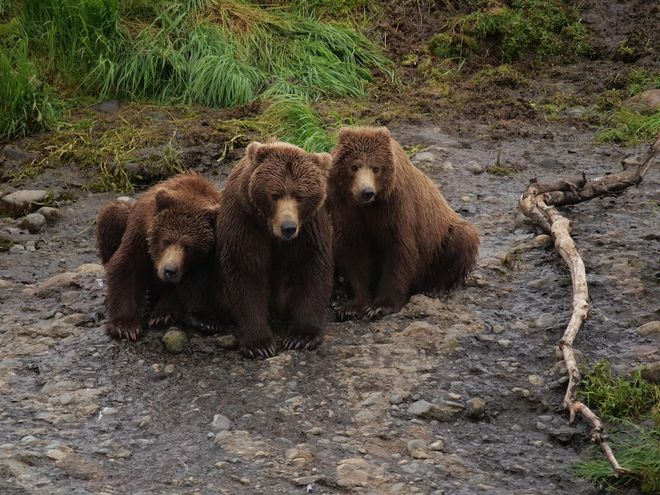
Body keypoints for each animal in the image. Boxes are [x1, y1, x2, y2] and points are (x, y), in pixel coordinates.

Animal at [100, 172, 223, 340]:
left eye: (189, 247)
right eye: (166, 240)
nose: (169, 270)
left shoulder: (206, 255)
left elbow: (200, 281)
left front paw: (203, 320)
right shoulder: (140, 233)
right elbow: (125, 266)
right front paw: (125, 327)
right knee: (114, 214)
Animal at [216, 141, 334, 358]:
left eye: (299, 196)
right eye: (275, 194)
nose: (288, 227)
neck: (269, 228)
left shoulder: (309, 226)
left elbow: (313, 265)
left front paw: (302, 336)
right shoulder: (244, 220)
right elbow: (246, 271)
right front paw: (259, 344)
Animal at [327, 126, 480, 321]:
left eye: (376, 168)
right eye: (354, 166)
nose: (366, 192)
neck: (371, 206)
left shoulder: (397, 208)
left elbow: (399, 251)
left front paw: (379, 307)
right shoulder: (347, 210)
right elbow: (353, 251)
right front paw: (351, 307)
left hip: (441, 235)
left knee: (461, 239)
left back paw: (435, 288)